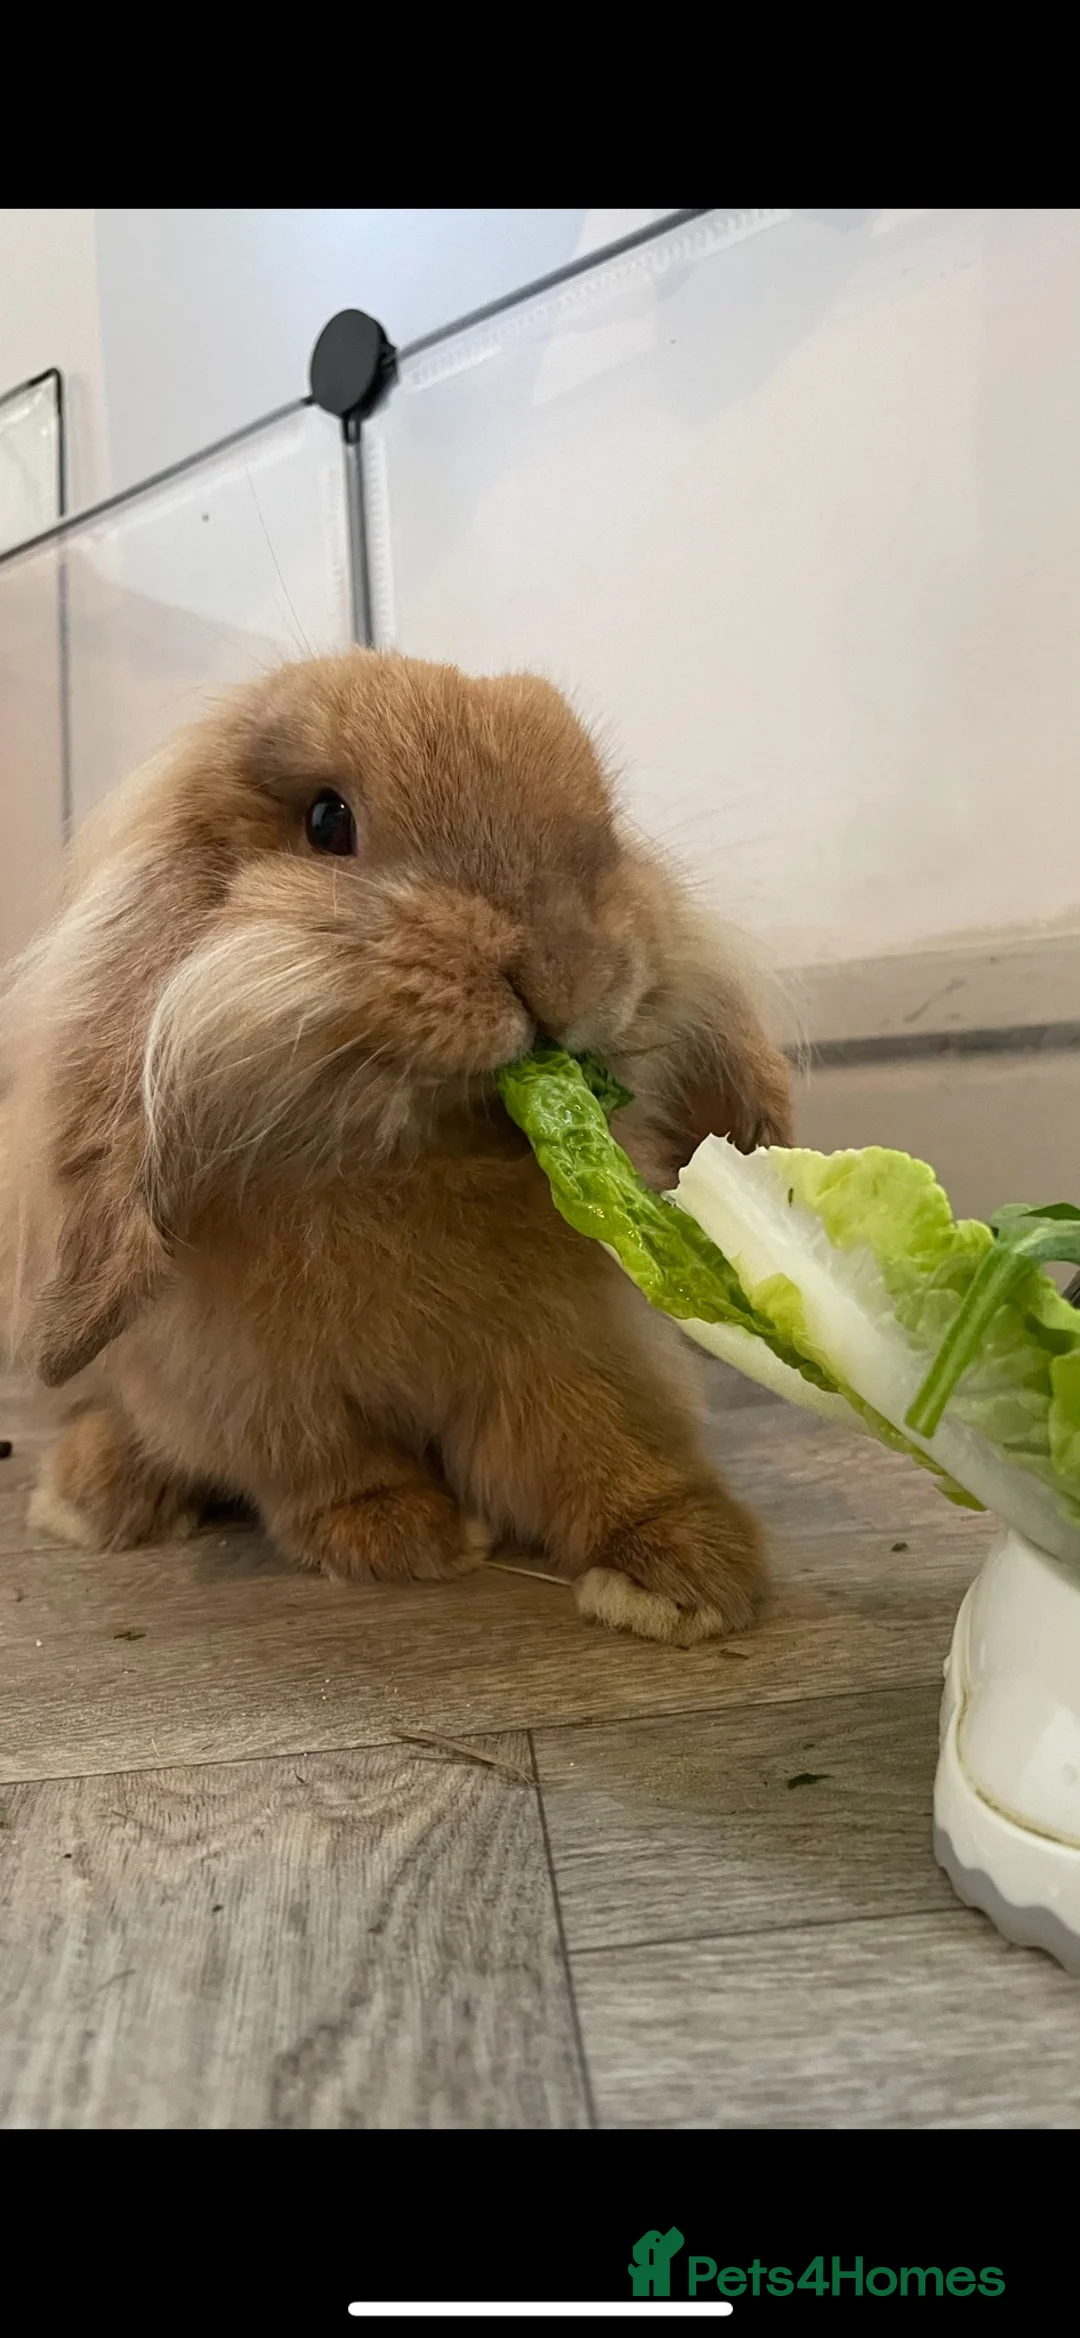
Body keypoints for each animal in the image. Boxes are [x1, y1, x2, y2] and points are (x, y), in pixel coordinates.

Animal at [0, 652, 793, 1646]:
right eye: (327, 821)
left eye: (607, 830)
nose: (561, 965)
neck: (410, 1158)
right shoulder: (253, 1392)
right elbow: (324, 1469)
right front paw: (402, 1536)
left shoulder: (573, 1352)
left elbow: (600, 1446)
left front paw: (688, 1574)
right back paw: (95, 1497)